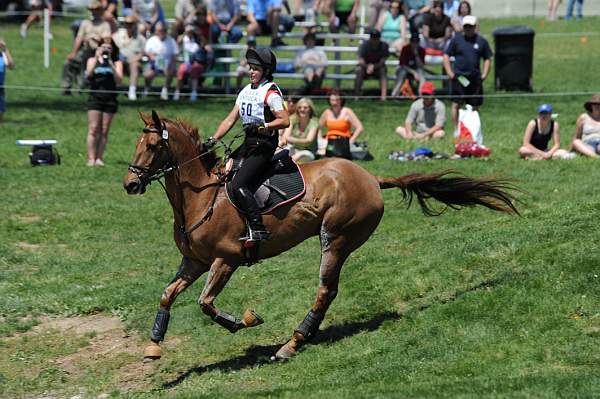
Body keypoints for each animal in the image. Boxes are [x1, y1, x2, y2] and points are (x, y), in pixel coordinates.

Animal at [123, 110, 520, 362]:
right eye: (137, 145)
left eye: (153, 147)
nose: (130, 184)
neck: (202, 198)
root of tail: (372, 179)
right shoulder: (194, 260)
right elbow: (167, 294)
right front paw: (154, 346)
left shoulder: (226, 260)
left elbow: (205, 302)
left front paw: (246, 320)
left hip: (336, 238)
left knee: (325, 290)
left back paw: (292, 343)